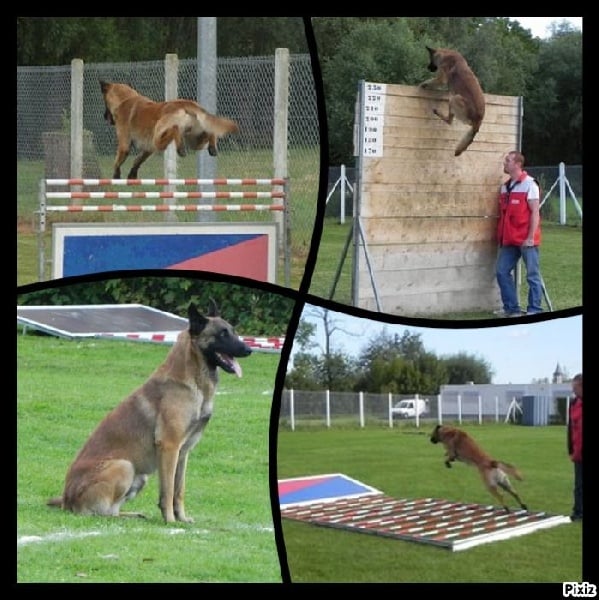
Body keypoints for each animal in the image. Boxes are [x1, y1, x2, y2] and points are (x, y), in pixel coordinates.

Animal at [47, 300, 251, 520]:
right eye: (222, 334)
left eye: (233, 331)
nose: (249, 349)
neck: (192, 382)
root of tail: (66, 499)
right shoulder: (169, 447)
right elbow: (168, 490)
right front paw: (170, 520)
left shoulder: (183, 452)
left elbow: (179, 489)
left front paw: (181, 518)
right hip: (125, 466)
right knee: (101, 513)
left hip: (140, 476)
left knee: (112, 511)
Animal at [100, 82, 239, 180]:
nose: (105, 116)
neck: (125, 99)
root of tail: (187, 103)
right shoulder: (148, 149)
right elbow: (137, 160)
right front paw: (132, 175)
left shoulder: (124, 145)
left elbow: (118, 161)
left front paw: (116, 175)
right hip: (195, 141)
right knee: (210, 132)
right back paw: (212, 148)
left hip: (158, 138)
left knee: (175, 130)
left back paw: (181, 148)